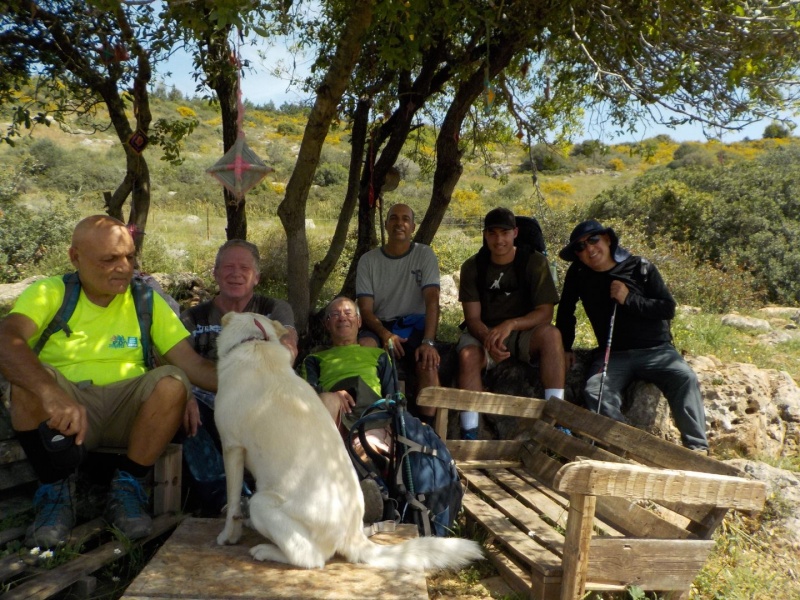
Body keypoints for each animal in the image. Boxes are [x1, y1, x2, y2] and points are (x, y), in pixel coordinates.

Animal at [214, 312, 482, 568]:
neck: (256, 343)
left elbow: (232, 502)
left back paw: (267, 550)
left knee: (311, 558)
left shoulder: (232, 448)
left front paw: (228, 536)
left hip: (262, 502)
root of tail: (353, 535)